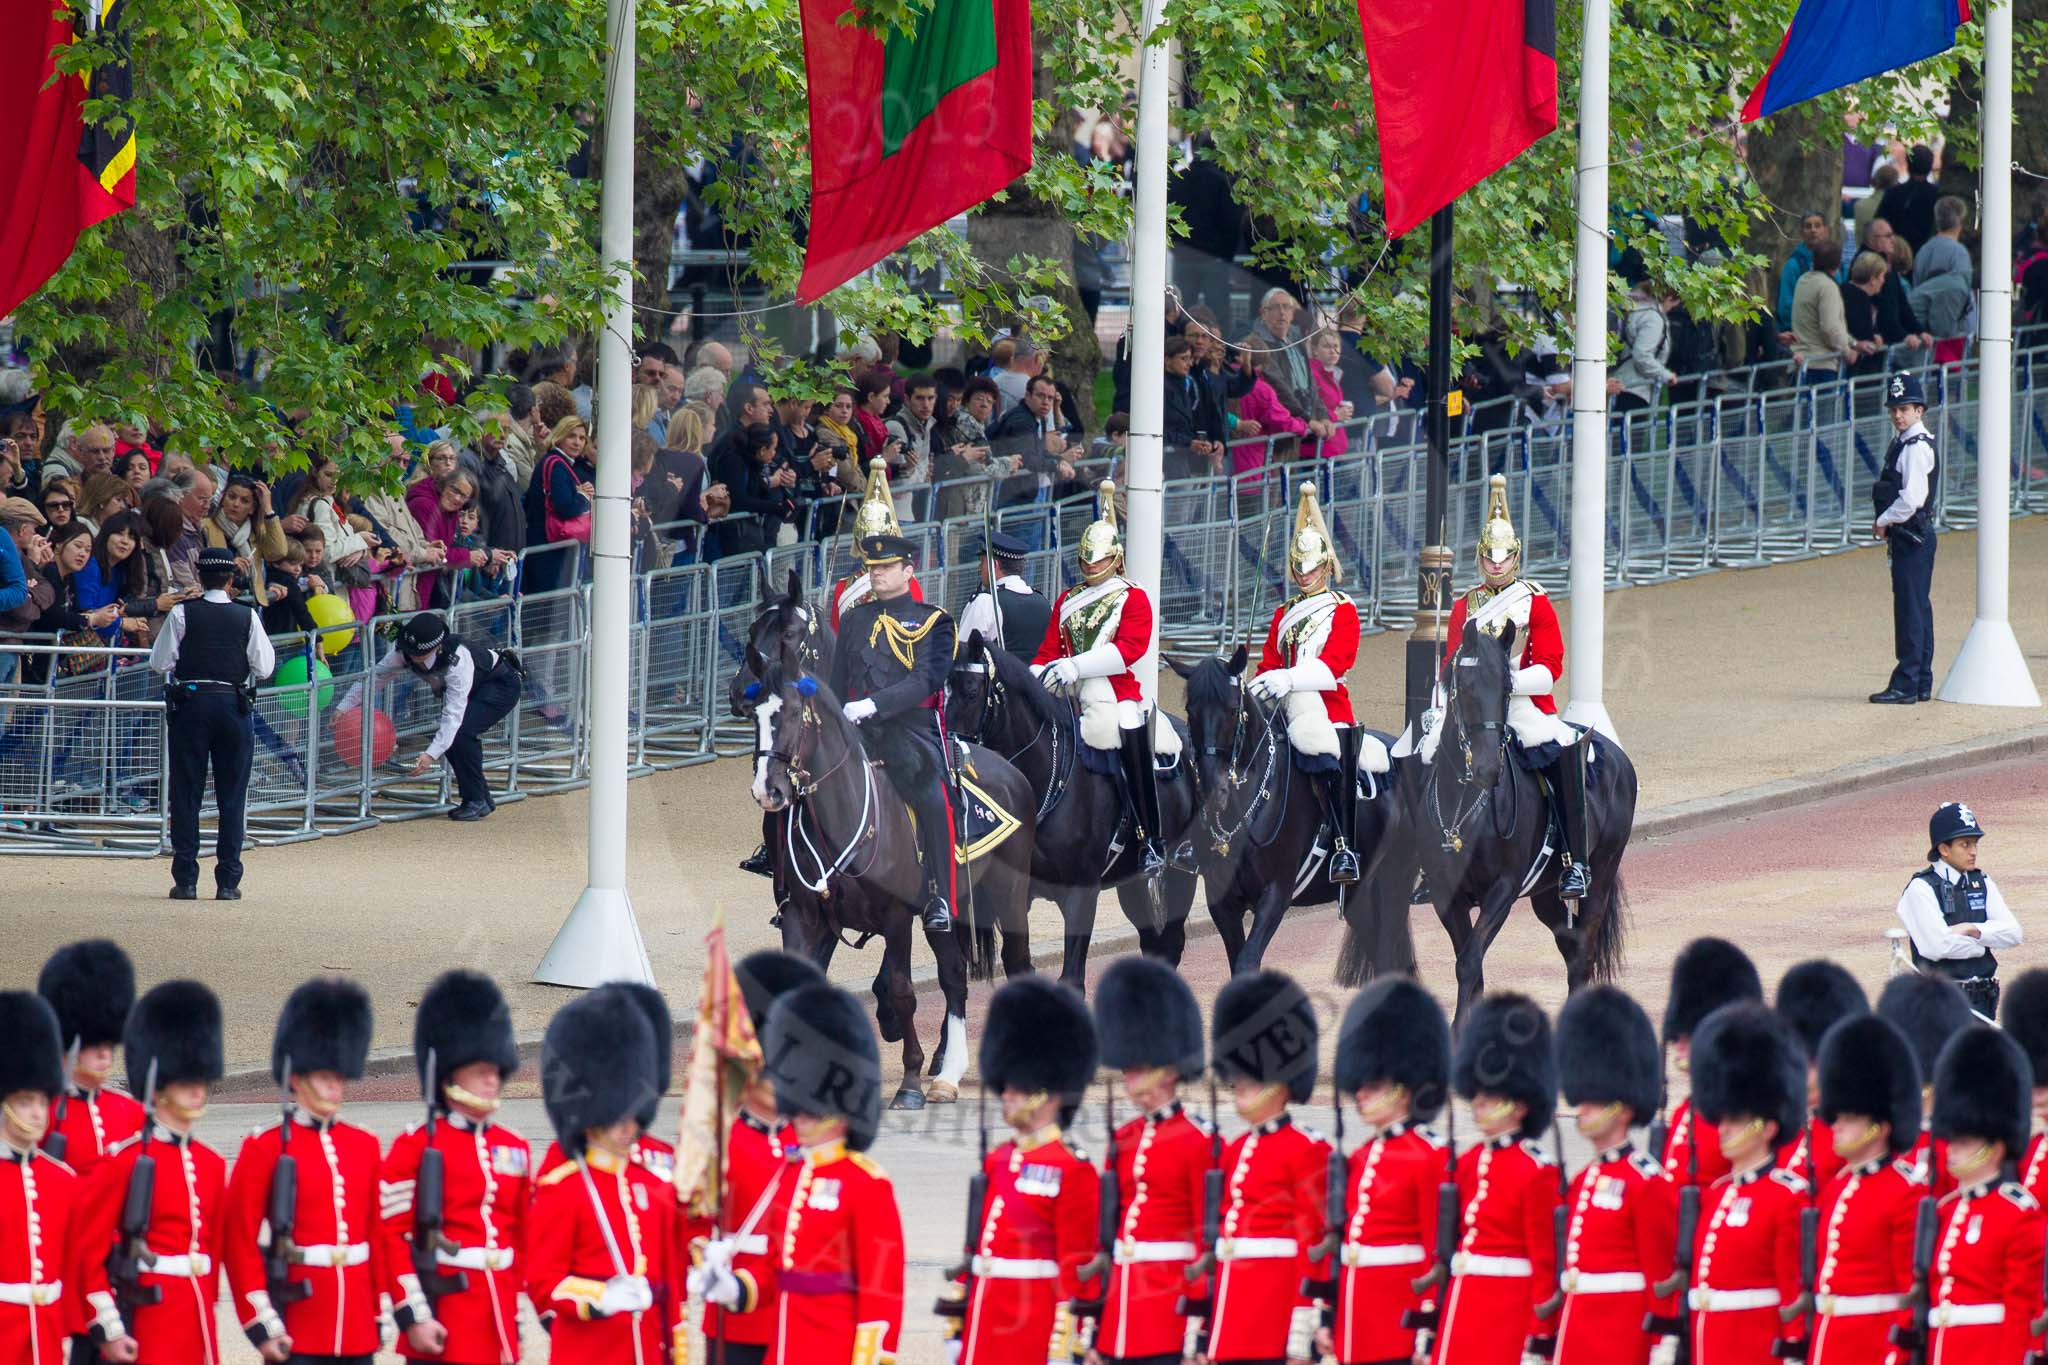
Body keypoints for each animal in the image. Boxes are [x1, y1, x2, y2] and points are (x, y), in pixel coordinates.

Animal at [749, 650, 1040, 1113]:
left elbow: (902, 992)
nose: (768, 790)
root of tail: (1011, 771)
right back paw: (948, 1076)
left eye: (794, 713)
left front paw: (909, 1082)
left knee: (1016, 963)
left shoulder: (896, 917)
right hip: (950, 910)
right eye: (752, 715)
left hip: (1008, 897)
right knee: (954, 975)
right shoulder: (804, 916)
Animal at [950, 634, 1204, 986]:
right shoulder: (1019, 893)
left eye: (972, 692)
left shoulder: (1081, 894)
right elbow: (1018, 963)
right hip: (1133, 884)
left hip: (1181, 872)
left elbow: (1070, 977)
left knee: (1170, 944)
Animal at [1179, 646, 1417, 978]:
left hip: (1395, 880)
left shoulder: (1276, 893)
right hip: (1357, 894)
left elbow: (1246, 962)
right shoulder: (1222, 901)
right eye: (1190, 710)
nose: (1214, 792)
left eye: (1232, 708)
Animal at [1359, 626, 1646, 1031]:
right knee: (1570, 945)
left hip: (1601, 875)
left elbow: (1468, 963)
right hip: (1544, 894)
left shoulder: (1504, 889)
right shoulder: (1448, 896)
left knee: (1582, 952)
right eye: (1464, 687)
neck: (1462, 806)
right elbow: (1471, 963)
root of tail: (1617, 755)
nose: (1487, 770)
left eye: (1508, 689)